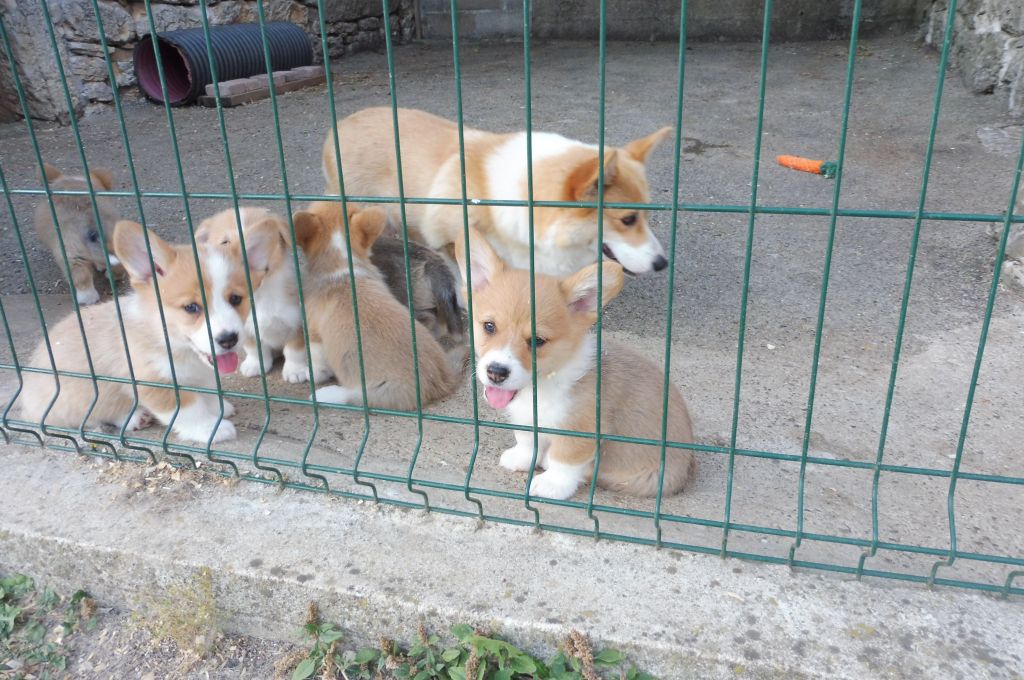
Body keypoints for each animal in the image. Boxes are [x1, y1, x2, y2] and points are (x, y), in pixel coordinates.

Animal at [19, 215, 282, 444]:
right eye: (191, 307)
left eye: (236, 299)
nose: (228, 339)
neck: (171, 341)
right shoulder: (155, 381)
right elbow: (189, 409)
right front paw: (210, 429)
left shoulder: (200, 374)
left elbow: (206, 390)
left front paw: (218, 408)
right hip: (77, 398)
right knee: (89, 416)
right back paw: (133, 417)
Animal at [456, 228, 696, 499]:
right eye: (489, 326)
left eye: (538, 341)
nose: (496, 372)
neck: (543, 386)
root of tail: (687, 467)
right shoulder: (527, 420)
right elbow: (527, 441)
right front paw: (521, 459)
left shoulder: (578, 430)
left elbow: (565, 460)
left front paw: (552, 485)